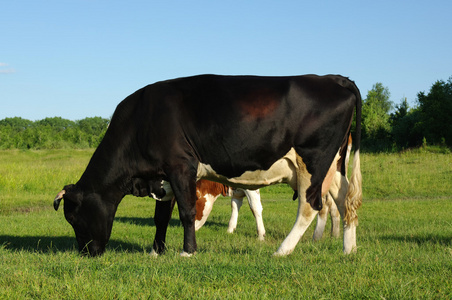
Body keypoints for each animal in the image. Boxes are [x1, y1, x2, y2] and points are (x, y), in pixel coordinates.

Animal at [53, 74, 364, 256]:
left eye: (73, 217)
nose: (87, 253)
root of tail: (331, 78)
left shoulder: (181, 167)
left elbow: (187, 212)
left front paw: (187, 251)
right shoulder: (163, 175)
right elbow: (160, 217)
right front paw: (156, 251)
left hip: (312, 161)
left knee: (310, 206)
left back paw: (282, 250)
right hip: (333, 165)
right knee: (344, 200)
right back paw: (348, 249)